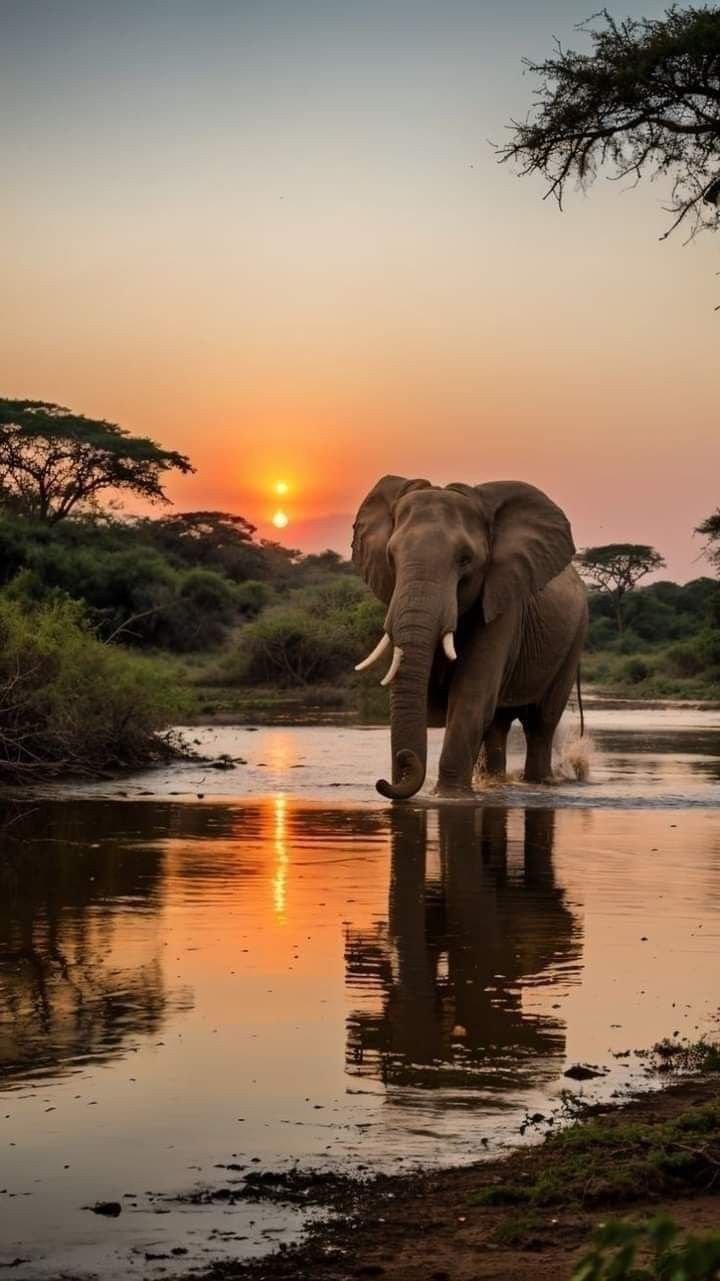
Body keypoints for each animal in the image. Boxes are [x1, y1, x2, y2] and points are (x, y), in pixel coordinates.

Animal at [352, 475, 588, 800]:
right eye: (390, 556)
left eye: (465, 560)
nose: (385, 781)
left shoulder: (504, 601)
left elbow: (471, 695)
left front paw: (449, 795)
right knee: (498, 723)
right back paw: (496, 782)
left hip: (573, 639)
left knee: (540, 722)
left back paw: (538, 783)